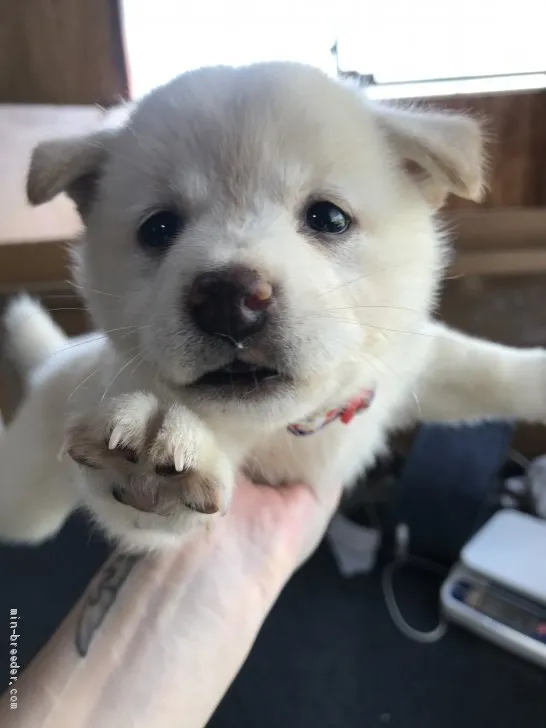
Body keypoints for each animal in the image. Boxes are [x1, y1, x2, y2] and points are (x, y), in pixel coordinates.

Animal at [1, 62, 544, 552]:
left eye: (329, 217)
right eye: (158, 229)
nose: (227, 299)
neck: (295, 429)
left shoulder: (403, 368)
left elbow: (481, 369)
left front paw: (535, 377)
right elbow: (145, 517)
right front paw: (149, 462)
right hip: (28, 494)